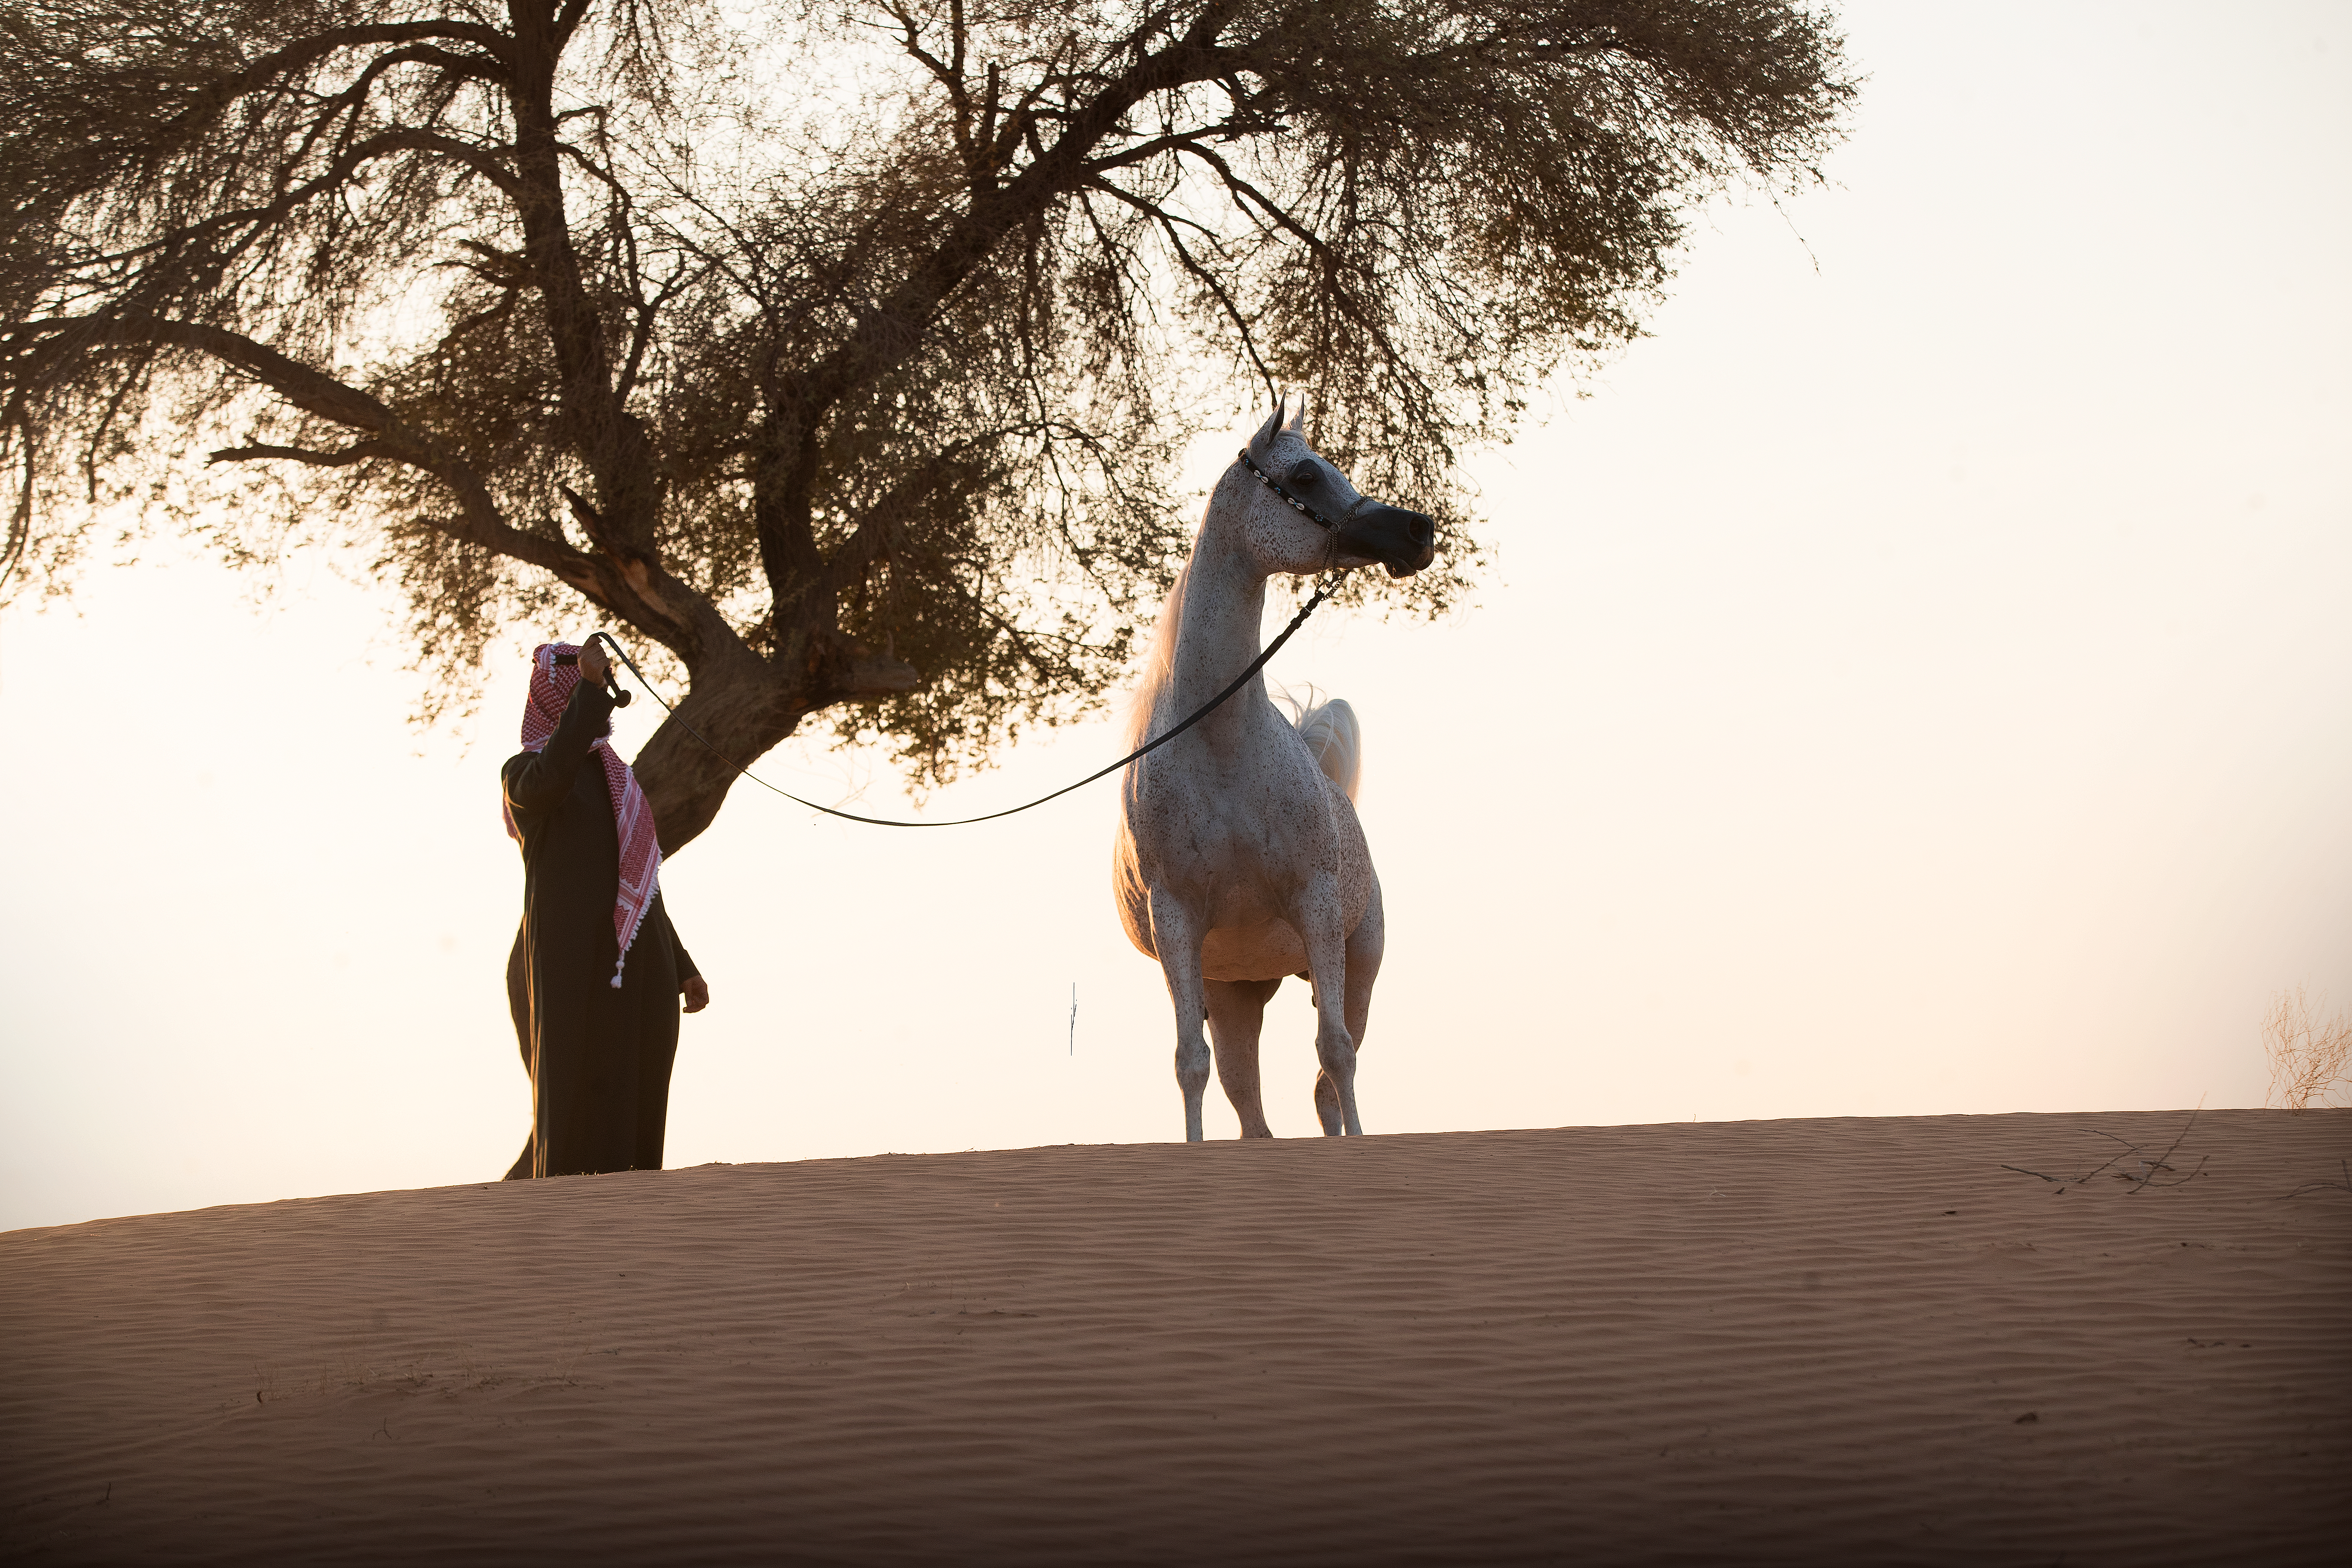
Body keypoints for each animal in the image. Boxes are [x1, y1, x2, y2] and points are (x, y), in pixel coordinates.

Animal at [1112, 399, 1436, 1141]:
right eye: (1307, 474)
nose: (1419, 530)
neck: (1224, 749)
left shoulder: (1315, 907)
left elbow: (1336, 1055)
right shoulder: (1178, 925)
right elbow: (1191, 1064)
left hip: (1356, 966)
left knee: (1326, 1081)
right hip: (1237, 994)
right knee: (1251, 1111)